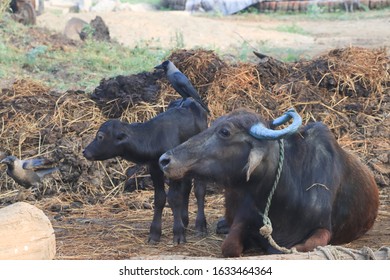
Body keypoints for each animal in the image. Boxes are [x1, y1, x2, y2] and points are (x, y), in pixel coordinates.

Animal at [84, 99, 209, 244]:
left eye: (100, 136)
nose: (85, 151)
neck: (155, 138)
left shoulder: (173, 171)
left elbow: (174, 198)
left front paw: (178, 234)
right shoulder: (154, 169)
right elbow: (160, 199)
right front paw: (154, 234)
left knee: (199, 191)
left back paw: (200, 225)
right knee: (187, 188)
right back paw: (185, 220)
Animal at [158, 108, 378, 258]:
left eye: (225, 132)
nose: (165, 160)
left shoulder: (323, 228)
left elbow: (301, 247)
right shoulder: (243, 218)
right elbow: (229, 247)